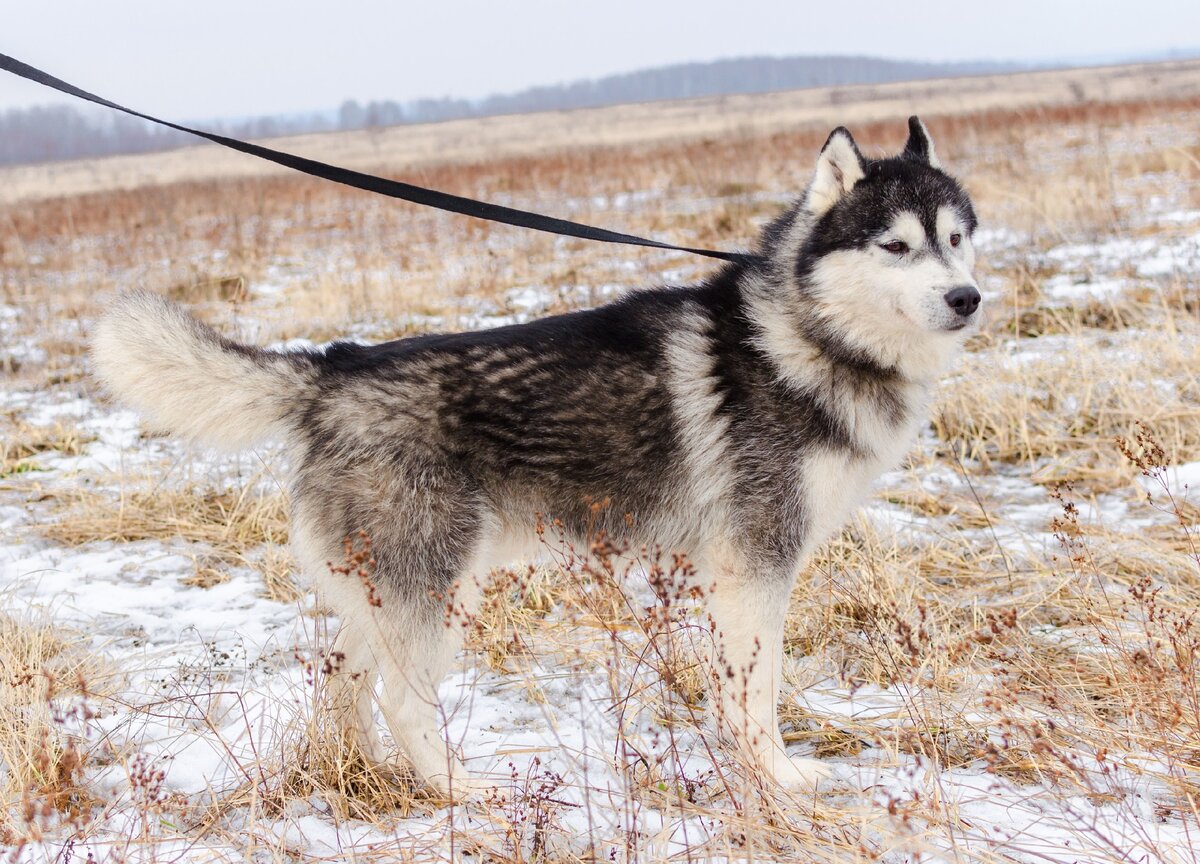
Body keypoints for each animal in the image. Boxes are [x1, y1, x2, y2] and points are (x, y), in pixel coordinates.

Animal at [91, 116, 974, 796]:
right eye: (895, 246)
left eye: (958, 240)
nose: (967, 297)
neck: (806, 337)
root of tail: (334, 368)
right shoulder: (753, 568)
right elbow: (754, 692)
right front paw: (778, 778)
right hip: (437, 591)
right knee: (399, 698)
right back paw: (458, 790)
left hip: (393, 590)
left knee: (343, 680)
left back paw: (365, 774)